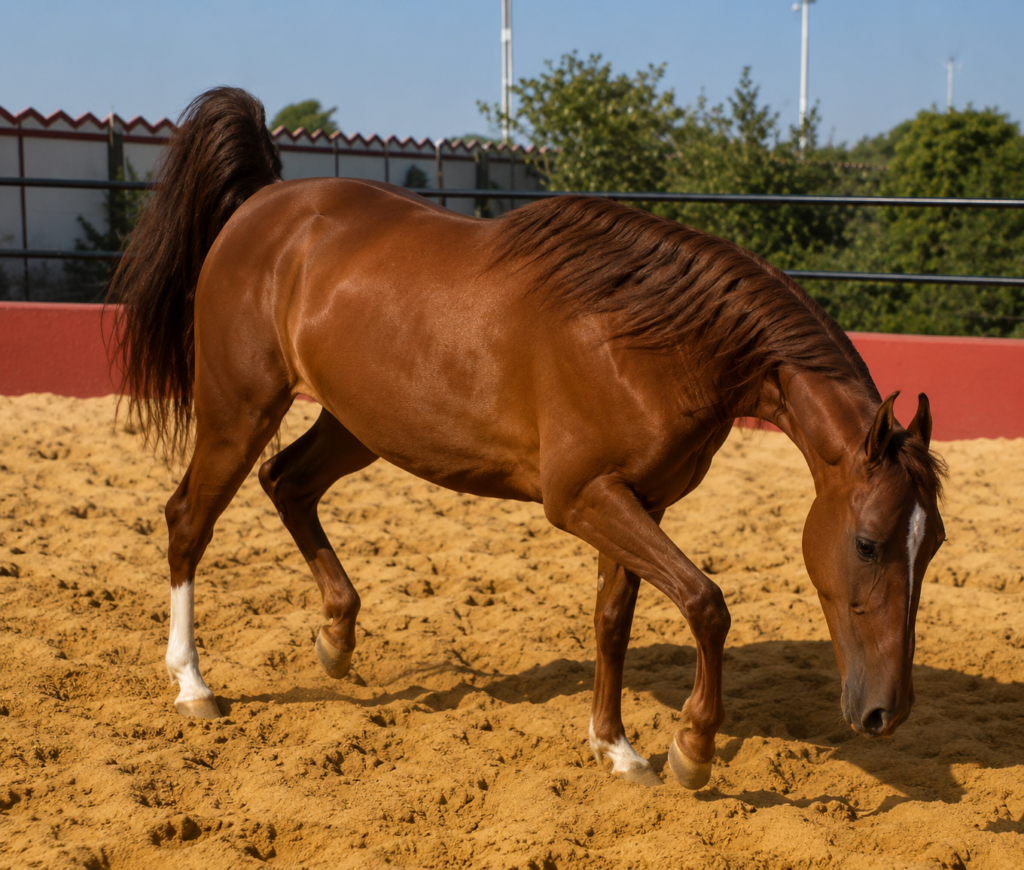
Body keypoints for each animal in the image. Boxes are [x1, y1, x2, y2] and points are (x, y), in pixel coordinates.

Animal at [108, 87, 946, 790]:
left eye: (930, 544)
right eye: (868, 543)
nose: (887, 712)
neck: (656, 339)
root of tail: (264, 206)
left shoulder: (639, 501)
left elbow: (614, 621)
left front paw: (617, 747)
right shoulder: (581, 498)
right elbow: (706, 603)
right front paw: (693, 747)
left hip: (359, 425)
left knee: (287, 482)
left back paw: (337, 638)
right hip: (238, 408)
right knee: (189, 520)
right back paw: (193, 684)